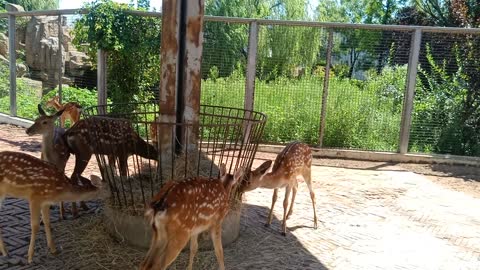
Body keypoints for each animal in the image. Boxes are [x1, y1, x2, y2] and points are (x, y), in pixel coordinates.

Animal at [141, 162, 272, 270]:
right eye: (239, 182)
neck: (224, 186)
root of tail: (159, 205)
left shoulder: (195, 228)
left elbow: (194, 248)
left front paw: (189, 268)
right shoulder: (217, 222)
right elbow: (219, 250)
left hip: (159, 233)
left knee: (145, 264)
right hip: (180, 233)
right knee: (158, 265)